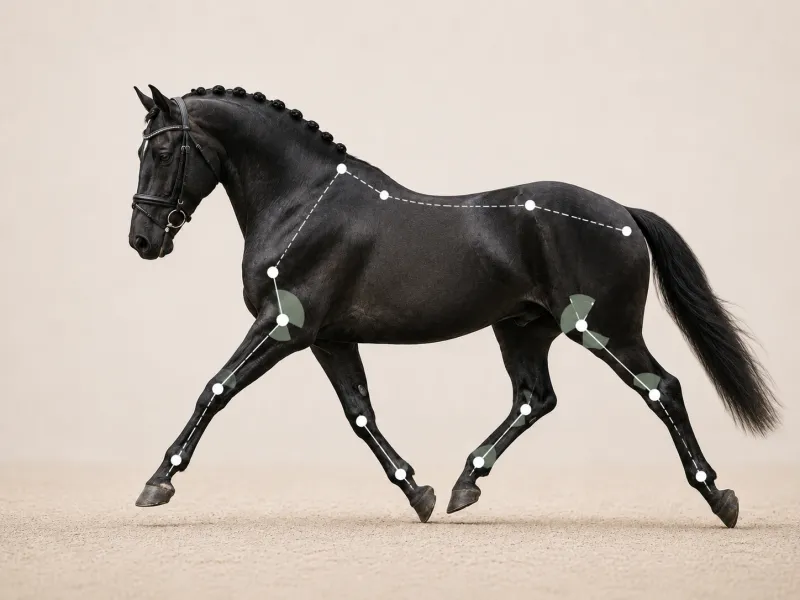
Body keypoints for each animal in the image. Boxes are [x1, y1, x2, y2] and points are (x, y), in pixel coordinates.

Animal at [128, 84, 779, 527]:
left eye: (161, 153)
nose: (142, 240)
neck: (304, 201)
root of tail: (623, 212)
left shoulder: (284, 326)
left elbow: (216, 389)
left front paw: (158, 482)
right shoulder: (329, 338)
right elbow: (359, 413)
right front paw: (418, 491)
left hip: (605, 329)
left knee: (661, 389)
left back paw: (719, 496)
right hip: (523, 329)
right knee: (535, 398)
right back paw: (467, 482)